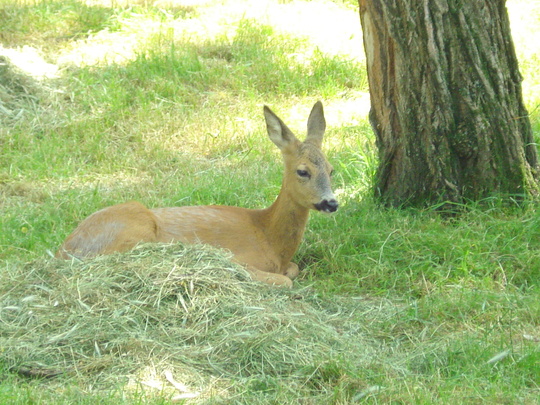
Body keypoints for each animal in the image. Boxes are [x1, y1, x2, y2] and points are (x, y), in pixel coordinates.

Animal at [58, 102, 338, 288]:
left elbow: (294, 269)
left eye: (331, 170)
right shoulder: (240, 258)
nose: (331, 203)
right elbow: (284, 280)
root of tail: (64, 251)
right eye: (303, 171)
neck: (269, 237)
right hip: (131, 230)